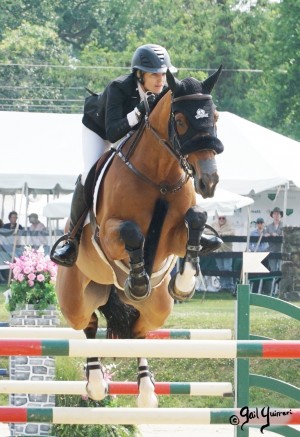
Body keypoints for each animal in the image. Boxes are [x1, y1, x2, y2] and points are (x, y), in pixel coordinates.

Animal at [56, 66, 224, 408]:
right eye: (181, 120)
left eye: (214, 116)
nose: (209, 181)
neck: (159, 177)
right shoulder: (108, 235)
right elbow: (132, 232)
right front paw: (136, 279)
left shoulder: (173, 237)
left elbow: (196, 220)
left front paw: (184, 282)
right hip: (74, 299)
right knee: (88, 326)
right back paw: (96, 384)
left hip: (158, 307)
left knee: (137, 332)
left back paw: (146, 391)